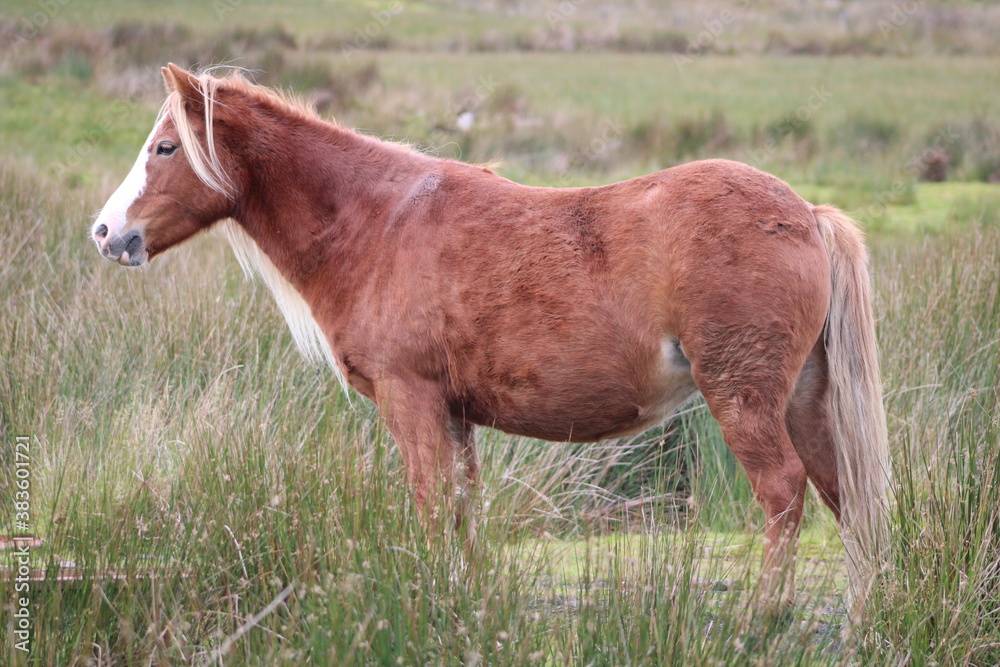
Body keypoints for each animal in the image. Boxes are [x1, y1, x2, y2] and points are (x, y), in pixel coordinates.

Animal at [91, 63, 889, 612]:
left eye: (166, 148)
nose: (106, 233)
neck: (377, 220)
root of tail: (804, 213)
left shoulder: (412, 402)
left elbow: (431, 506)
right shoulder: (454, 415)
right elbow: (462, 513)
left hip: (743, 398)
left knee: (783, 492)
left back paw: (763, 620)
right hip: (803, 401)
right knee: (843, 495)